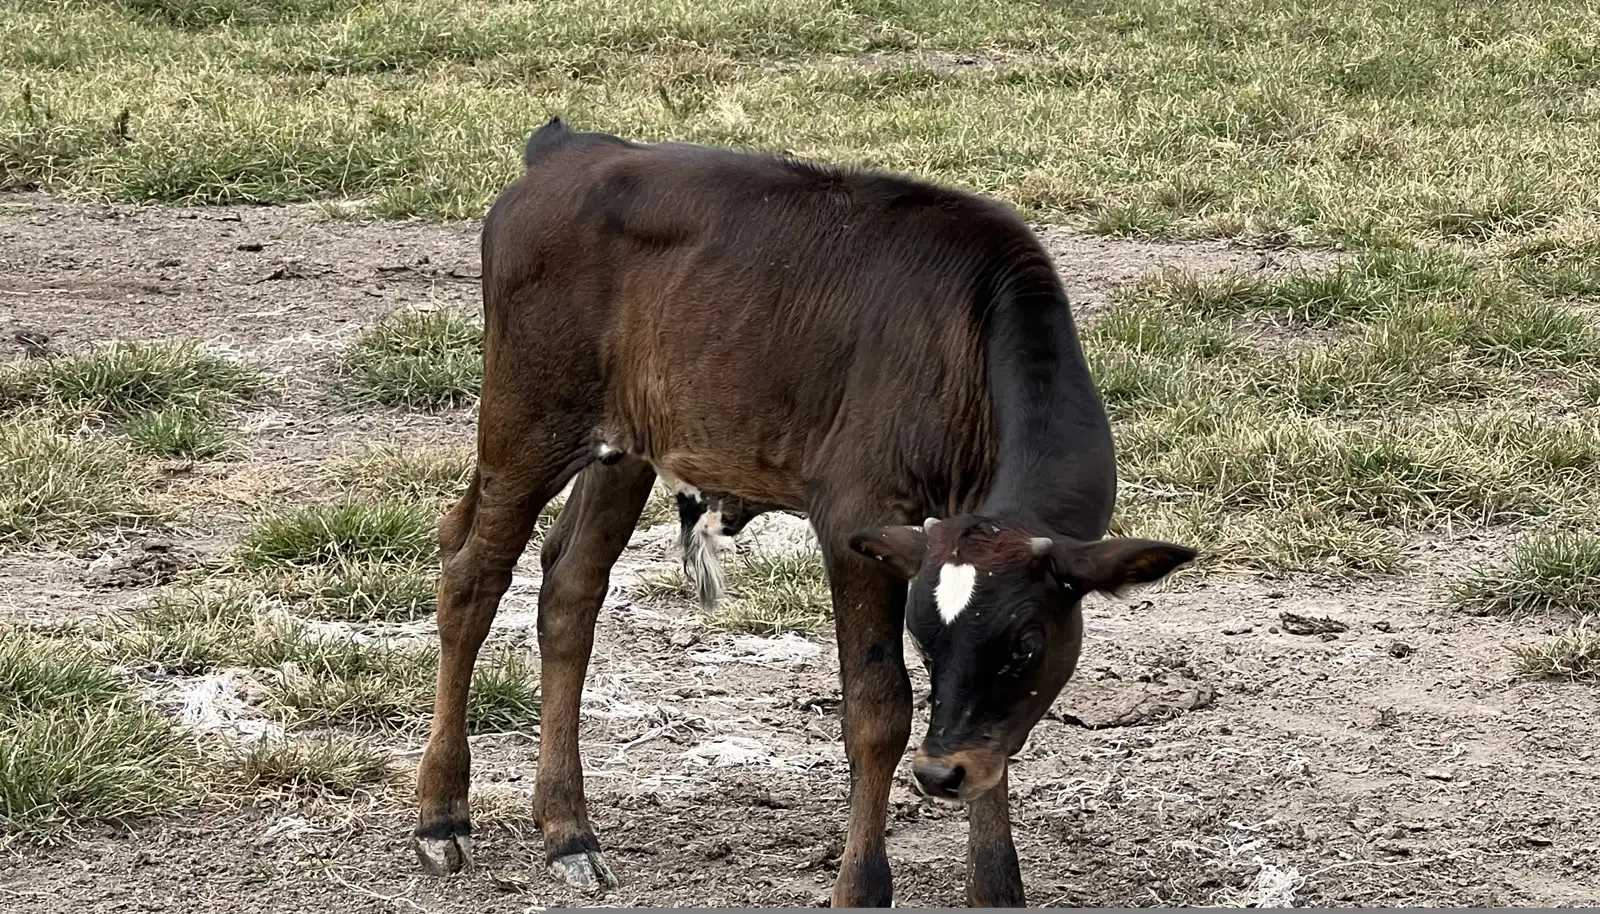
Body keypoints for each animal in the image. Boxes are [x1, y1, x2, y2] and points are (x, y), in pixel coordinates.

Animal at [411, 117, 1197, 908]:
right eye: (926, 636)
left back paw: (568, 830)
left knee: (567, 588)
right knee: (472, 577)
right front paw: (861, 885)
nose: (940, 774)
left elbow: (997, 735)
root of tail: (569, 148)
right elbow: (879, 709)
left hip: (623, 449)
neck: (969, 338)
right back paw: (441, 816)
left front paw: (997, 887)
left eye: (1027, 641)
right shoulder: (856, 514)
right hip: (526, 421)